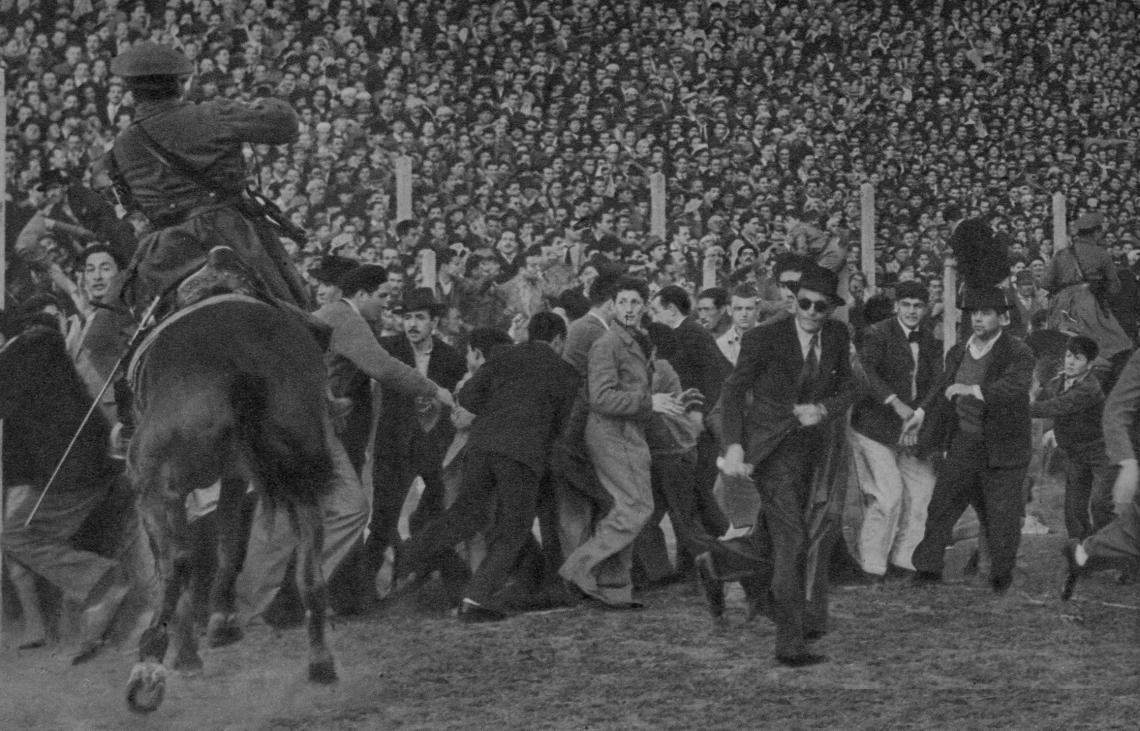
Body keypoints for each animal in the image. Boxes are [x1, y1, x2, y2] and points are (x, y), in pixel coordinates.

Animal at [127, 294, 337, 711]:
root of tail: (239, 363)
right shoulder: (239, 474)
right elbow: (231, 539)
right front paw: (223, 619)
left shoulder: (172, 489)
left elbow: (188, 554)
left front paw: (190, 649)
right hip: (301, 468)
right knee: (310, 571)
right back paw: (320, 661)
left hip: (159, 485)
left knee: (178, 560)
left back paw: (152, 658)